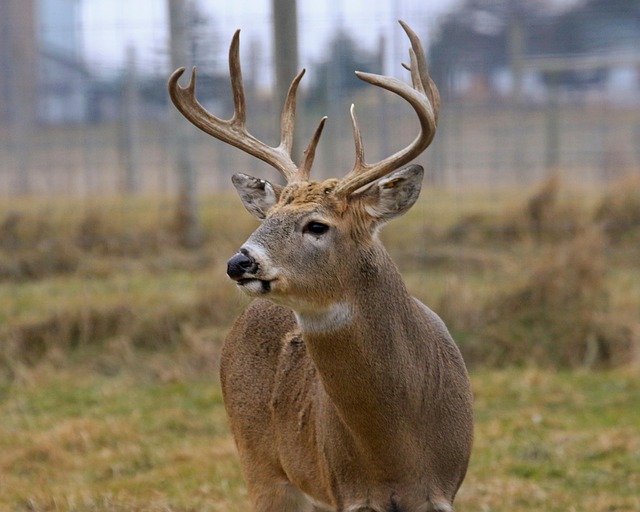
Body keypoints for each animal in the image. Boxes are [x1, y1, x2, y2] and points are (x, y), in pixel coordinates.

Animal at [168, 20, 472, 512]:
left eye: (317, 225)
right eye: (268, 217)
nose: (240, 262)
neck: (397, 452)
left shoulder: (443, 490)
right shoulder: (346, 490)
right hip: (261, 465)